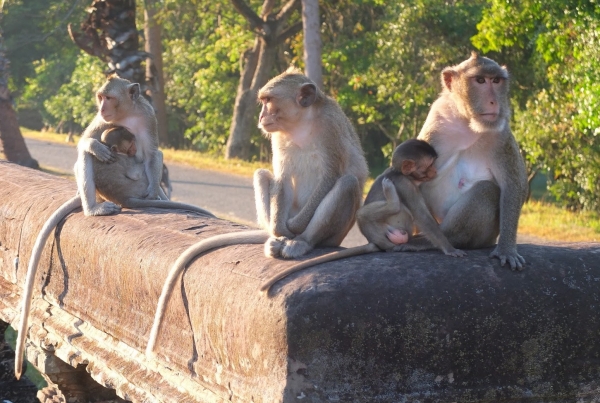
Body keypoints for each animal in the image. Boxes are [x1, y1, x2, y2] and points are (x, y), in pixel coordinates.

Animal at [146, 69, 370, 356]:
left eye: (269, 101)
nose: (262, 117)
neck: (301, 124)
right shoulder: (278, 138)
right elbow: (282, 179)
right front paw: (281, 228)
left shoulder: (330, 127)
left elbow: (330, 176)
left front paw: (296, 227)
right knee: (264, 175)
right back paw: (275, 236)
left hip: (337, 232)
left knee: (346, 183)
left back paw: (300, 241)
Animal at [258, 138, 464, 294]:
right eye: (429, 165)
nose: (435, 172)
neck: (398, 172)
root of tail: (375, 241)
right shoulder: (405, 184)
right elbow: (422, 216)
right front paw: (449, 248)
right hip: (385, 232)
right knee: (370, 214)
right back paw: (393, 211)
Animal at [400, 52, 528, 270]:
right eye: (480, 80)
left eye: (496, 80)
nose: (494, 102)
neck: (467, 121)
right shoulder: (437, 119)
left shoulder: (501, 134)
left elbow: (513, 185)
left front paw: (506, 249)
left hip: (485, 236)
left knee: (487, 190)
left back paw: (444, 240)